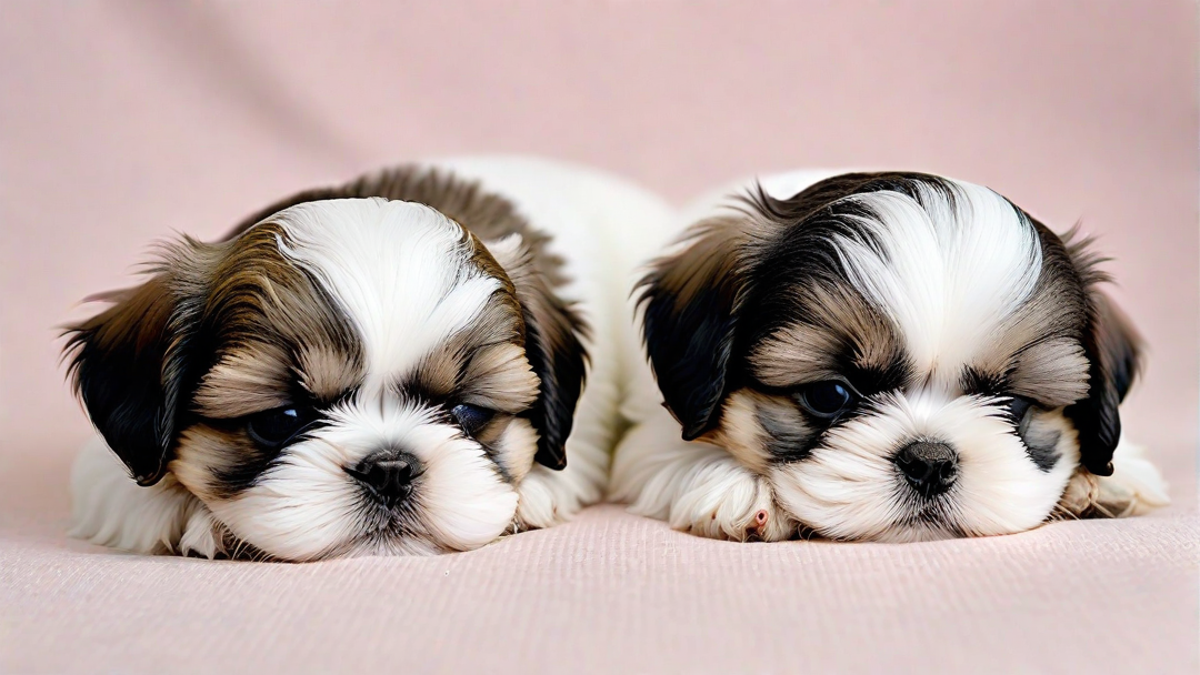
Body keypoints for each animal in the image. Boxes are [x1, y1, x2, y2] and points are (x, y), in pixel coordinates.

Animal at [614, 169, 1166, 540]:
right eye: (830, 395)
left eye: (1015, 404)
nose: (931, 462)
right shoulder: (643, 438)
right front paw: (737, 487)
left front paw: (1114, 477)